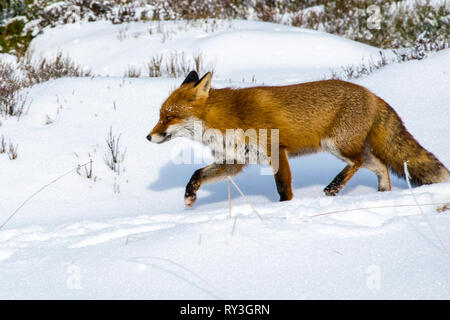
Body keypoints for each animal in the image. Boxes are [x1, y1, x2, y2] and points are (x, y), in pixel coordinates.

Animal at [147, 71, 446, 208]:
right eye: (160, 116)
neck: (228, 118)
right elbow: (196, 174)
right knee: (381, 166)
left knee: (358, 163)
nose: (148, 136)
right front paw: (190, 195)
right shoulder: (235, 161)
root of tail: (372, 94)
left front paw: (284, 210)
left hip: (336, 145)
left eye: (168, 117)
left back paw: (334, 187)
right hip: (351, 149)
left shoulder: (276, 151)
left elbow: (283, 188)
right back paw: (382, 194)